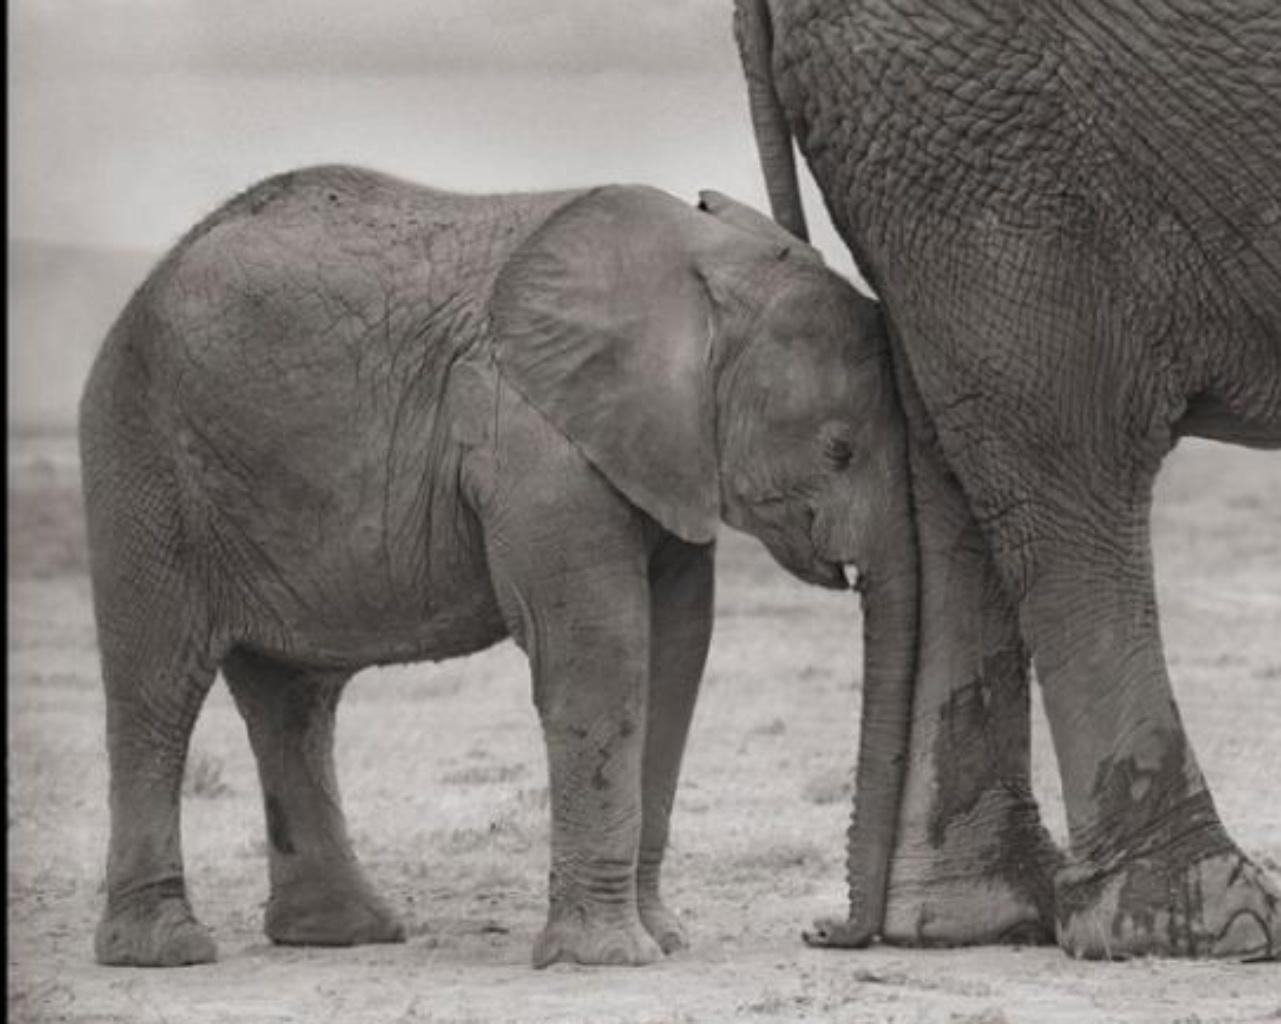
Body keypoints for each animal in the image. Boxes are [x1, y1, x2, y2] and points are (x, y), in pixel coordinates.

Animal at [80, 167, 917, 968]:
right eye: (838, 450)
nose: (821, 930)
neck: (700, 266)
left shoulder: (664, 452)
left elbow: (675, 659)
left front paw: (660, 939)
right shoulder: (531, 435)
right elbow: (597, 658)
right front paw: (607, 958)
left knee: (294, 702)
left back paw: (342, 934)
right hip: (141, 455)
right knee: (158, 689)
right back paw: (165, 951)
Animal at [737, 0, 1281, 963]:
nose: (817, 931)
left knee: (951, 465)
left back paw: (975, 916)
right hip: (1000, 144)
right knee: (1070, 451)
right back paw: (1205, 923)